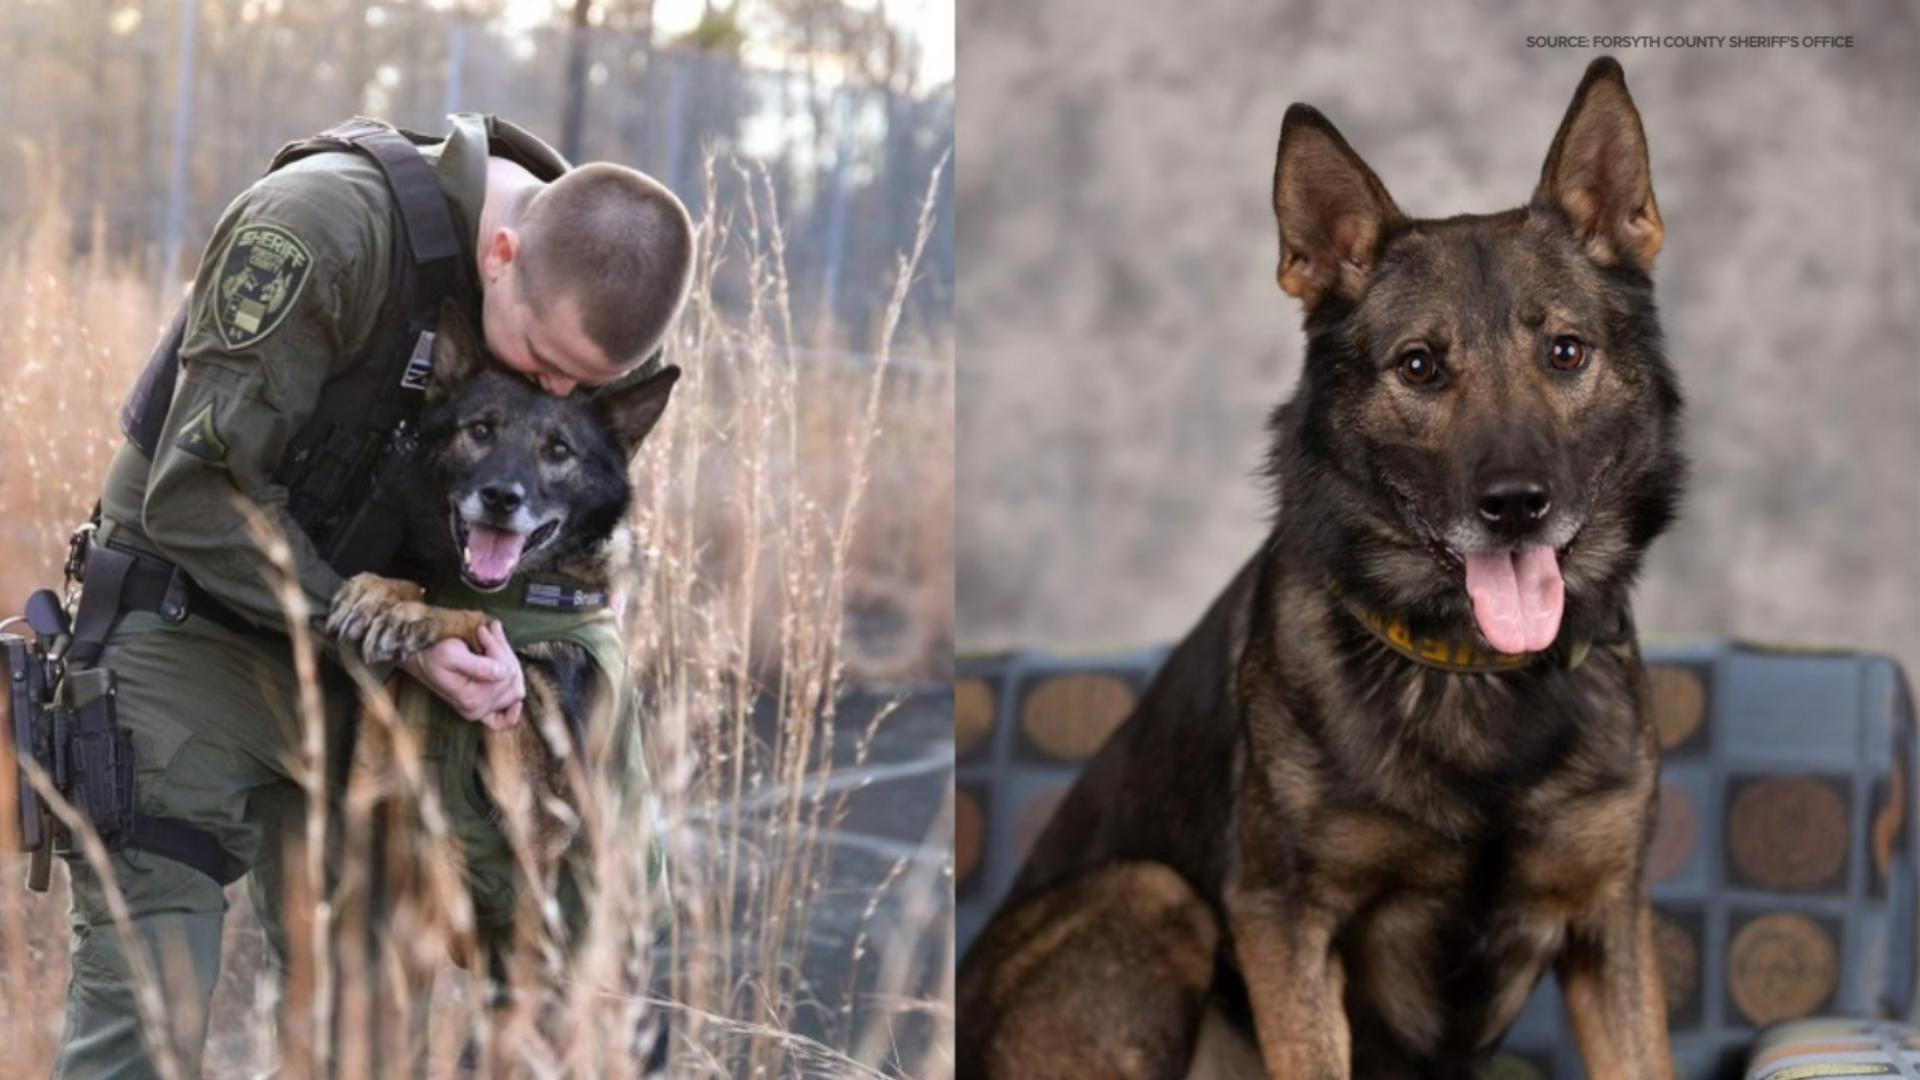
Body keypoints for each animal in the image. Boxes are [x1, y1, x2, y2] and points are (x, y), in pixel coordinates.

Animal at [960, 61, 1681, 1076]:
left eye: (1566, 352)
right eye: (1419, 367)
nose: (1515, 504)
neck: (1476, 677)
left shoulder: (1610, 926)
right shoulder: (1284, 923)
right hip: (1148, 895)